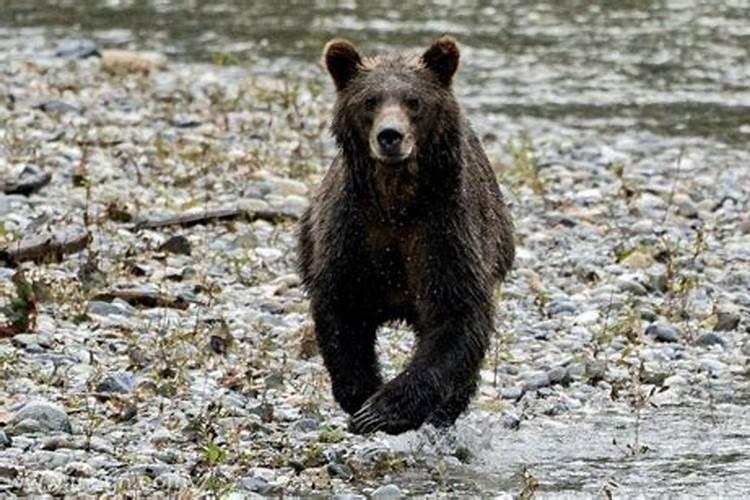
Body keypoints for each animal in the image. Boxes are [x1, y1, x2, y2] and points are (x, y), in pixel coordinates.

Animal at [300, 36, 516, 434]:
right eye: (370, 100)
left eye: (414, 100)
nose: (390, 136)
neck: (396, 200)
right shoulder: (352, 231)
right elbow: (340, 309)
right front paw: (362, 396)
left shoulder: (444, 231)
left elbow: (456, 317)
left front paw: (384, 408)